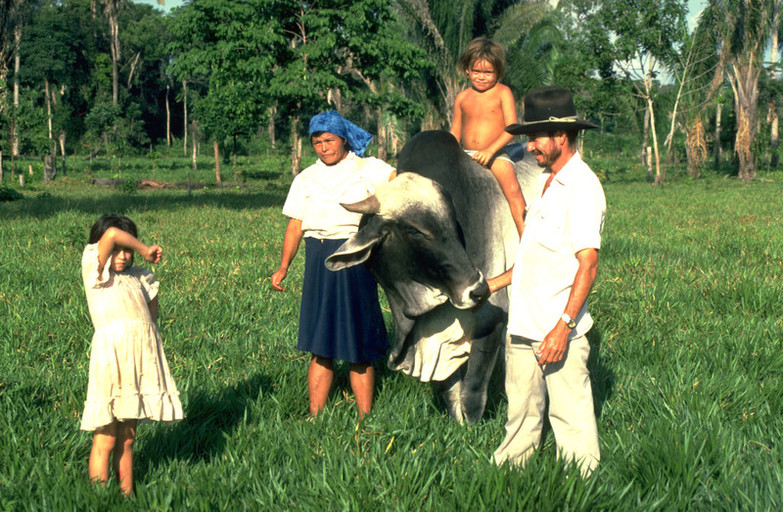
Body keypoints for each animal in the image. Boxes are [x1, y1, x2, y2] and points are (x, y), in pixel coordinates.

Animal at [328, 130, 544, 422]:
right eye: (415, 231)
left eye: (454, 223)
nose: (478, 290)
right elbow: (449, 390)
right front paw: (456, 422)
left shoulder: (491, 320)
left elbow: (472, 392)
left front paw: (470, 427)